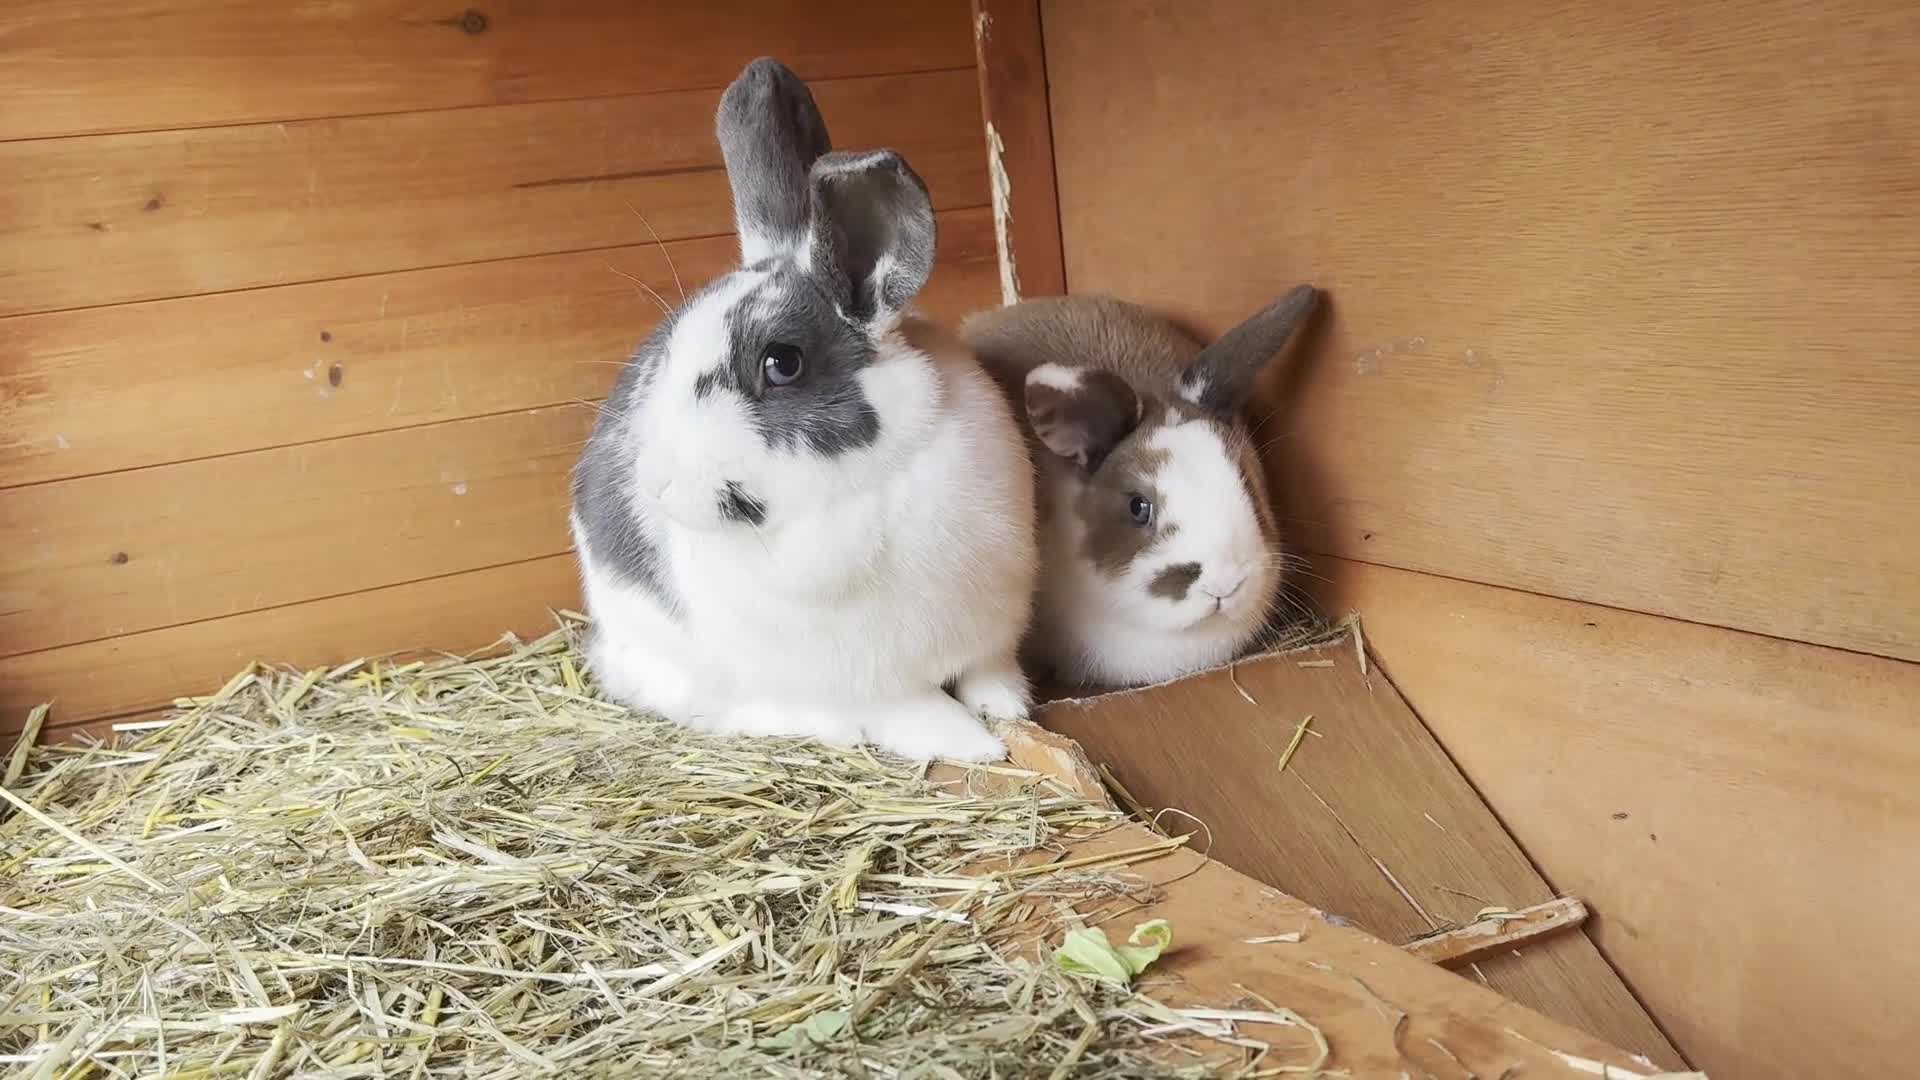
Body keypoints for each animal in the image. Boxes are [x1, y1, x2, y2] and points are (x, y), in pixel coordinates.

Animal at [568, 58, 1039, 762]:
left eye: (781, 363)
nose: (655, 485)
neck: (864, 492)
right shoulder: (873, 681)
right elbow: (914, 708)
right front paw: (974, 746)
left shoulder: (992, 628)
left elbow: (991, 671)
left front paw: (1009, 709)